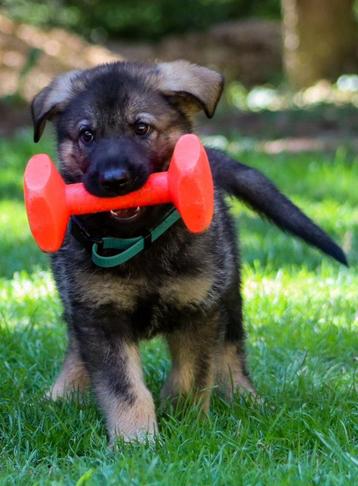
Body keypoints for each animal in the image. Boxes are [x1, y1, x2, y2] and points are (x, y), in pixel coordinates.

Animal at [31, 60, 346, 444]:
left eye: (142, 128)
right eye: (87, 135)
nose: (114, 179)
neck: (143, 240)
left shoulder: (199, 308)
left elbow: (194, 374)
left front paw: (185, 423)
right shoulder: (99, 313)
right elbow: (123, 386)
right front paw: (136, 440)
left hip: (230, 291)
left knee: (231, 350)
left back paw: (246, 398)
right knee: (77, 346)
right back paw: (63, 394)